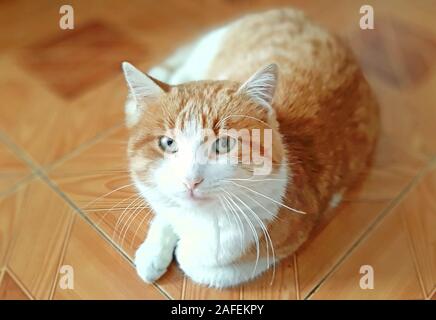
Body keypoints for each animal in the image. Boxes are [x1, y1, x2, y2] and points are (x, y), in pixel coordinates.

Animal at [120, 7, 378, 288]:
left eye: (224, 144)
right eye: (168, 143)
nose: (191, 180)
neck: (201, 219)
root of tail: (299, 14)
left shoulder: (284, 241)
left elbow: (209, 268)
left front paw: (181, 252)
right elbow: (165, 212)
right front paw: (154, 250)